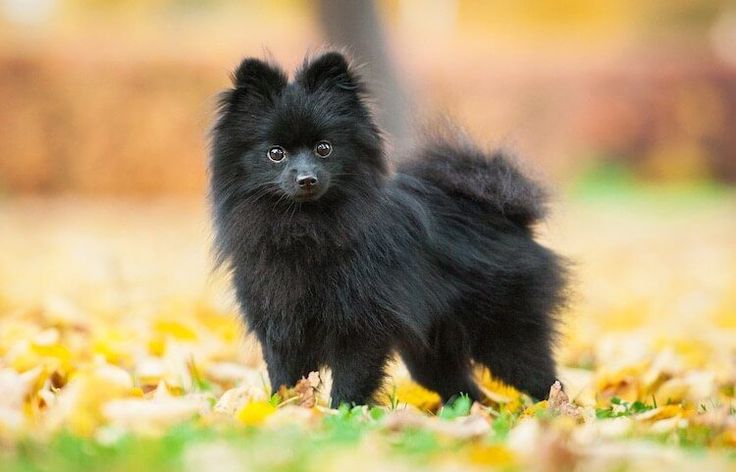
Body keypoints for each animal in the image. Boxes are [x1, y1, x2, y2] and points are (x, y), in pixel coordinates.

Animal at [208, 50, 568, 406]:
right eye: (276, 154)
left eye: (324, 148)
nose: (306, 178)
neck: (305, 225)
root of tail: (506, 214)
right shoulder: (280, 326)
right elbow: (285, 378)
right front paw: (286, 410)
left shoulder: (359, 325)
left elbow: (351, 381)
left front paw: (343, 416)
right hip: (432, 350)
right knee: (463, 388)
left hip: (504, 335)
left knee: (544, 379)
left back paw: (556, 412)